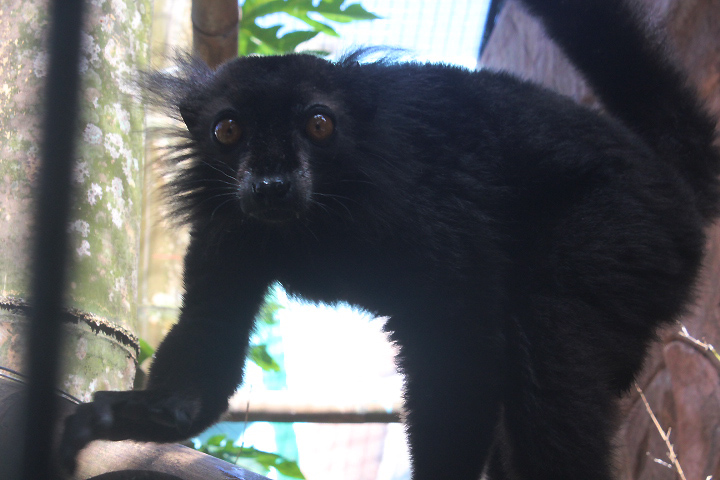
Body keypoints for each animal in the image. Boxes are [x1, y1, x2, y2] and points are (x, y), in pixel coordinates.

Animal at [61, 0, 720, 478]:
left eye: (318, 124)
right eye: (228, 130)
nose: (272, 183)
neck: (314, 217)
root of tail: (672, 183)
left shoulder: (425, 209)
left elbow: (461, 342)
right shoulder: (229, 223)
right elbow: (206, 361)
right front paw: (121, 419)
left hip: (626, 225)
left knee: (550, 335)